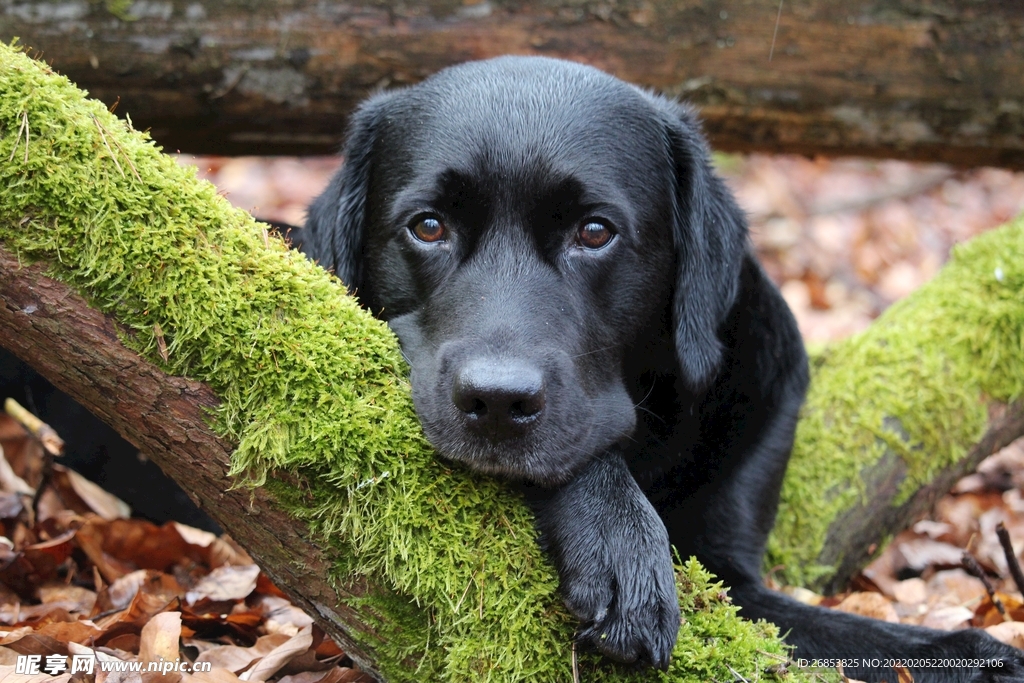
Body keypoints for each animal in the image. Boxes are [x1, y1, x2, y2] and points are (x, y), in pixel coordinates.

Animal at [299, 56, 1024, 679]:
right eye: (428, 226)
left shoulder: (737, 572)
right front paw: (622, 543)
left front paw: (976, 655)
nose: (498, 401)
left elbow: (854, 638)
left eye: (595, 232)